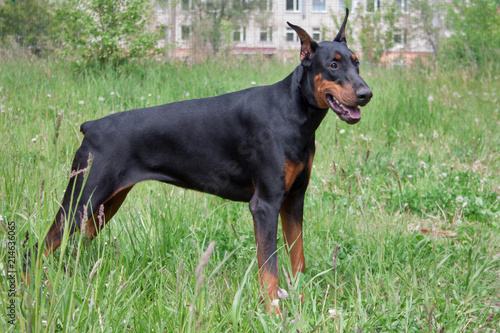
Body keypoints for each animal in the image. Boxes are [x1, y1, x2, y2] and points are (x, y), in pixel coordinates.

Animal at [31, 9, 372, 312]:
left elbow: (297, 257)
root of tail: (91, 127)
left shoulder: (293, 199)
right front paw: (273, 311)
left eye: (356, 63)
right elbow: (269, 267)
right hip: (80, 201)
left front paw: (302, 299)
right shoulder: (265, 205)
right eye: (333, 65)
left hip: (103, 207)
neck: (292, 111)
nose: (366, 94)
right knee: (36, 249)